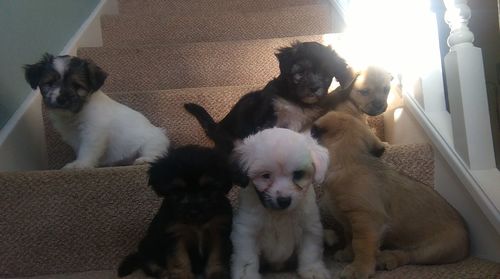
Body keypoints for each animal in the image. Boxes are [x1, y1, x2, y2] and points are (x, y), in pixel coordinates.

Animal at [23, 53, 168, 170]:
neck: (77, 113)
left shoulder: (93, 132)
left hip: (154, 141)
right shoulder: (73, 136)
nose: (61, 98)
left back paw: (144, 160)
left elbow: (87, 150)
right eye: (50, 83)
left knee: (155, 153)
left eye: (77, 85)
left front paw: (80, 164)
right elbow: (80, 148)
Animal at [117, 145, 234, 278]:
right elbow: (179, 260)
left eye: (208, 190)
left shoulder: (219, 231)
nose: (194, 212)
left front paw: (217, 275)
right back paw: (164, 273)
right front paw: (182, 276)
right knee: (148, 262)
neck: (196, 223)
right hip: (147, 244)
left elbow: (217, 257)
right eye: (178, 191)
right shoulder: (175, 235)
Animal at [185, 41, 356, 153]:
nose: (314, 88)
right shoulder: (268, 115)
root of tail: (216, 126)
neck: (295, 100)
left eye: (326, 75)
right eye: (300, 73)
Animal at [231, 129, 332, 279]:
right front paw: (247, 275)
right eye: (266, 176)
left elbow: (310, 251)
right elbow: (247, 258)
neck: (279, 215)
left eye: (298, 174)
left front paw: (313, 270)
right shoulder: (247, 230)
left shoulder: (309, 227)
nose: (284, 200)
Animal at [312, 111, 468, 279]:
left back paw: (388, 258)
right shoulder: (349, 222)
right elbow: (350, 239)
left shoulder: (366, 220)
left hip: (435, 250)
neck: (348, 161)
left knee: (409, 256)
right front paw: (348, 254)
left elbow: (361, 245)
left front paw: (360, 268)